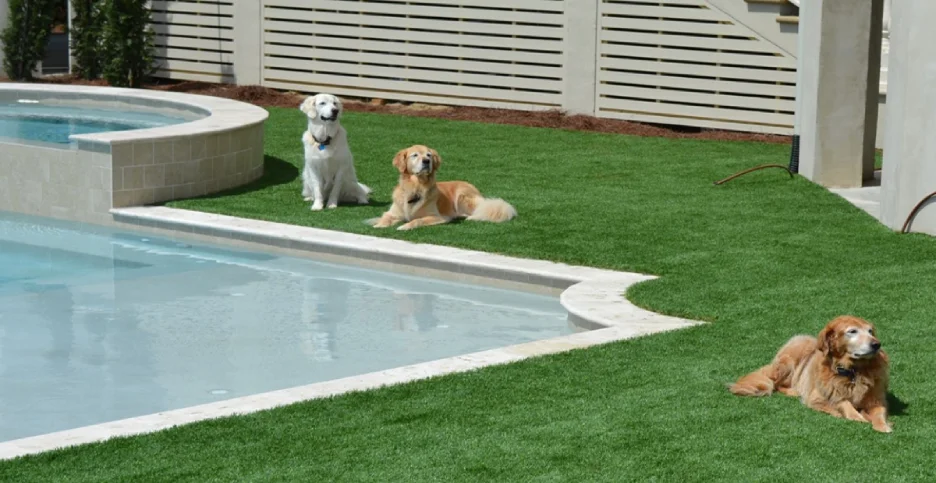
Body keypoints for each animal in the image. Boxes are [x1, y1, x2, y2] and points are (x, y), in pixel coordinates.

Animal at [366, 145, 516, 232]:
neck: (416, 186)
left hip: (462, 196)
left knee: (481, 212)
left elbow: (417, 220)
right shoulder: (393, 212)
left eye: (429, 155)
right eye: (415, 155)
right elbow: (385, 217)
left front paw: (404, 226)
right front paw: (378, 225)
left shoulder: (437, 216)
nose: (427, 161)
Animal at [728, 316, 888, 432]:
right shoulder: (818, 397)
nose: (877, 344)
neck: (853, 371)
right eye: (852, 331)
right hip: (787, 364)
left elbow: (879, 413)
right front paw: (857, 417)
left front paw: (882, 426)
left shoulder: (877, 399)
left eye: (870, 331)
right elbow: (843, 403)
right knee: (775, 384)